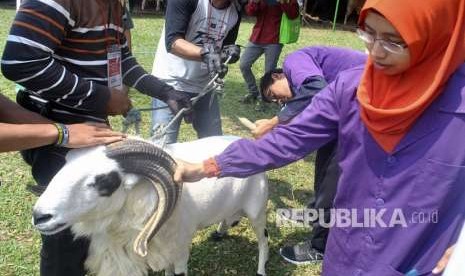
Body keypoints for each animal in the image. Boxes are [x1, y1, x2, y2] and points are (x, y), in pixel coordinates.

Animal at [31, 136, 268, 276]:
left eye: (104, 180)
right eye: (65, 165)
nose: (40, 216)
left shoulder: (180, 251)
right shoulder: (164, 250)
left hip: (257, 212)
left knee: (263, 241)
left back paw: (261, 270)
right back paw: (219, 232)